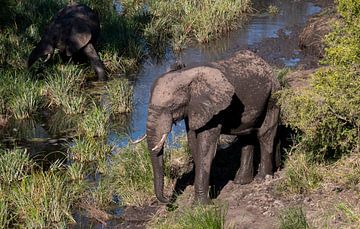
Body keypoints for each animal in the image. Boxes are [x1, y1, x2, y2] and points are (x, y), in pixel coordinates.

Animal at [146, 50, 282, 204]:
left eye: (172, 106)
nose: (169, 199)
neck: (186, 73)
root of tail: (267, 65)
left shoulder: (214, 108)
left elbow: (206, 147)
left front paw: (201, 204)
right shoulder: (193, 108)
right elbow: (193, 142)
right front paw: (209, 188)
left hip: (273, 95)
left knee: (265, 133)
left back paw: (262, 179)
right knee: (246, 135)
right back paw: (241, 181)